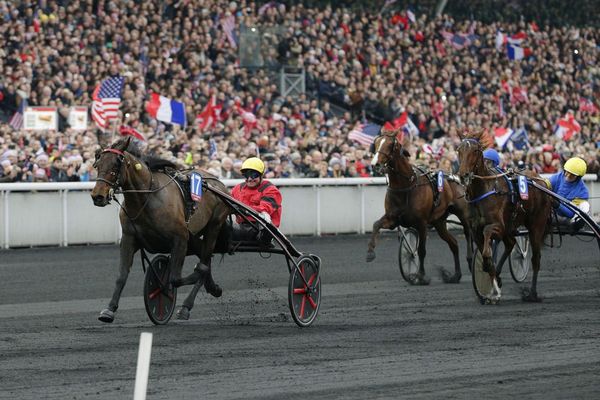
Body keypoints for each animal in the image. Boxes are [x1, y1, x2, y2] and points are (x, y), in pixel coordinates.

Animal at [91, 138, 232, 322]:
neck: (147, 198)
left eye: (116, 163)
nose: (98, 196)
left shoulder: (180, 239)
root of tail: (219, 183)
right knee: (205, 258)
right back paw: (211, 288)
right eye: (98, 163)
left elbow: (175, 278)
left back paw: (187, 305)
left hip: (213, 227)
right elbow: (121, 275)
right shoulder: (129, 238)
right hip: (194, 237)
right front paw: (109, 310)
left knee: (205, 258)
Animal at [366, 130, 474, 284]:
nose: (375, 164)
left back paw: (470, 261)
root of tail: (456, 178)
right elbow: (376, 224)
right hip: (439, 222)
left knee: (468, 233)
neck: (406, 186)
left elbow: (421, 250)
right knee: (453, 244)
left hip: (463, 215)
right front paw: (370, 252)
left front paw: (421, 276)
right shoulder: (392, 219)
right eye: (375, 143)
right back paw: (456, 275)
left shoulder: (421, 223)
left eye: (390, 145)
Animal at [458, 130, 552, 302]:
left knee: (535, 259)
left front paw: (494, 287)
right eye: (458, 150)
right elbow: (487, 258)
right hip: (512, 226)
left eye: (475, 150)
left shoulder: (499, 226)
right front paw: (492, 288)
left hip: (536, 226)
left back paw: (532, 294)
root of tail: (541, 180)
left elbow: (487, 240)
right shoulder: (475, 230)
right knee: (510, 243)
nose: (464, 175)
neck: (484, 190)